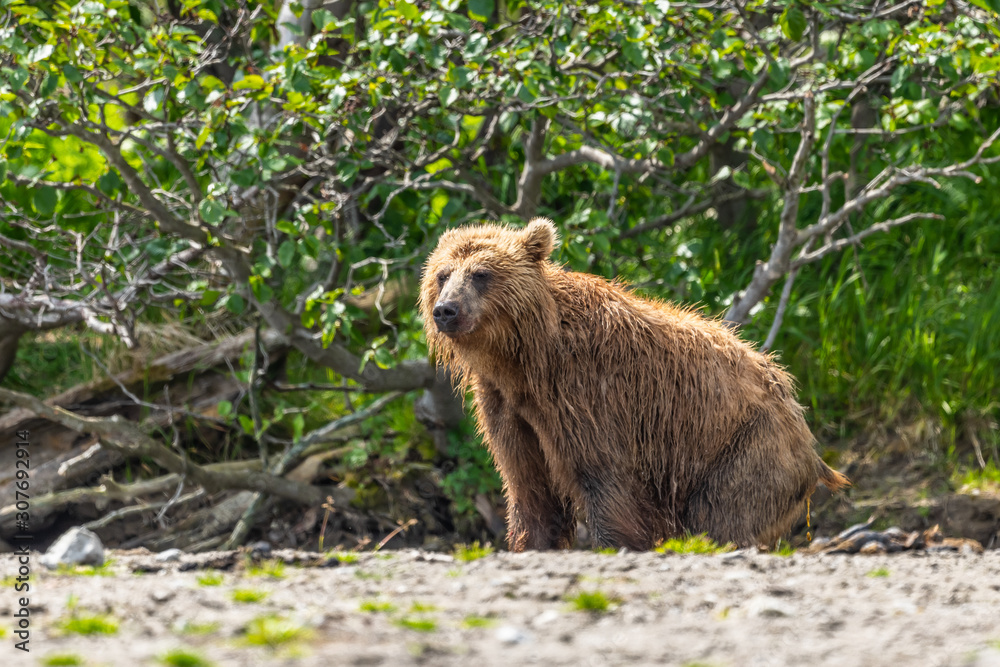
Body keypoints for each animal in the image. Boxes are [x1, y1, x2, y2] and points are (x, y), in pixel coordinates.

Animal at [420, 218, 849, 551]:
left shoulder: (587, 394)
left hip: (743, 445)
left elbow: (605, 480)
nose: (447, 310)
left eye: (481, 274)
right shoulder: (506, 404)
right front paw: (531, 543)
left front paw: (615, 543)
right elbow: (529, 486)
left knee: (724, 514)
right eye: (442, 274)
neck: (523, 360)